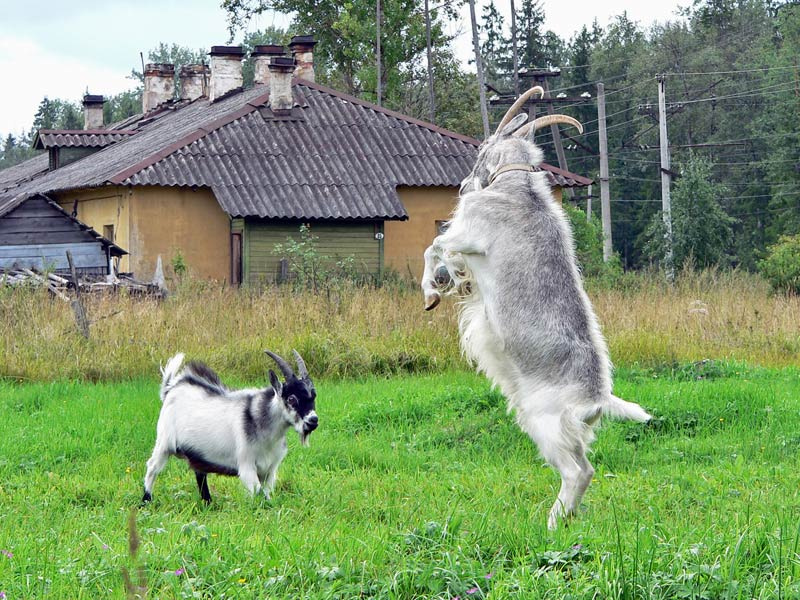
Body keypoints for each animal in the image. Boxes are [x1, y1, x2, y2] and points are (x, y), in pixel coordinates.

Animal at [141, 350, 317, 504]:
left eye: (313, 396)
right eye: (291, 398)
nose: (313, 420)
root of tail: (170, 388)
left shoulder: (270, 470)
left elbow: (266, 495)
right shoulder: (247, 466)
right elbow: (258, 495)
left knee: (200, 473)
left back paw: (208, 503)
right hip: (164, 442)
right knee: (152, 468)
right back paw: (146, 501)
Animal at [421, 86, 650, 529]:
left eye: (483, 149)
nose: (464, 185)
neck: (516, 186)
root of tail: (597, 399)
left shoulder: (467, 234)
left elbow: (435, 245)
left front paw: (434, 288)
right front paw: (450, 283)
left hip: (544, 424)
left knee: (578, 472)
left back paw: (551, 523)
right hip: (567, 432)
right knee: (585, 468)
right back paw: (566, 518)